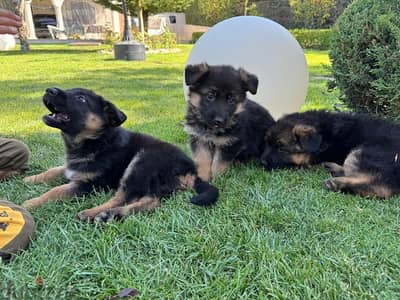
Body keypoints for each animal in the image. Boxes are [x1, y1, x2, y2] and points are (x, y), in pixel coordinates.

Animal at [22, 86, 219, 220]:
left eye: (81, 98)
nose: (49, 90)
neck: (96, 141)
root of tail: (190, 170)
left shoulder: (88, 184)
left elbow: (56, 190)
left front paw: (30, 203)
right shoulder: (73, 167)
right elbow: (55, 169)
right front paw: (30, 179)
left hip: (141, 162)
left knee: (122, 197)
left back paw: (94, 213)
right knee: (150, 201)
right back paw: (111, 215)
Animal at [260, 109, 400, 198]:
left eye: (281, 149)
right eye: (266, 143)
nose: (262, 162)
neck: (323, 133)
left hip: (363, 151)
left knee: (380, 186)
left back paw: (335, 182)